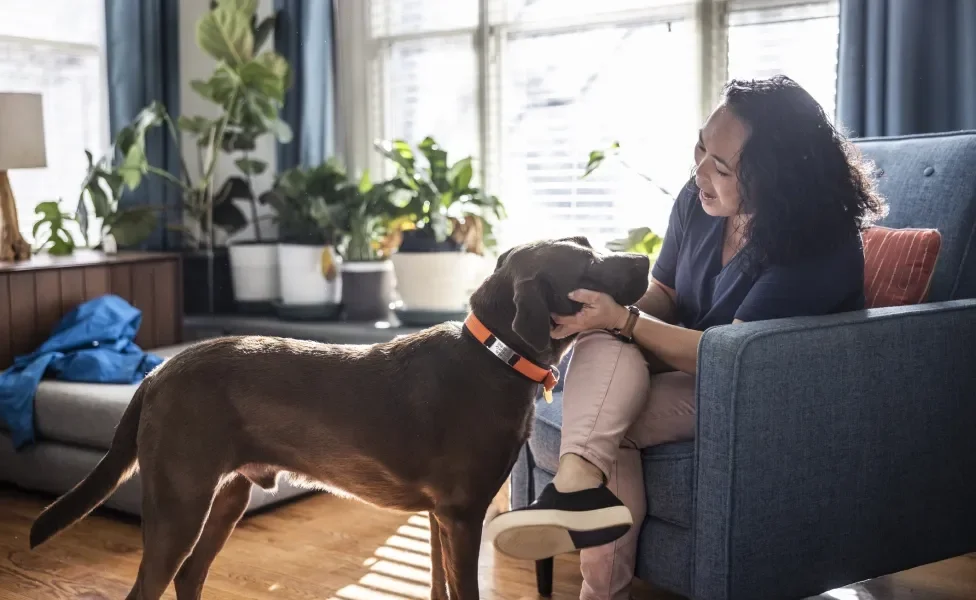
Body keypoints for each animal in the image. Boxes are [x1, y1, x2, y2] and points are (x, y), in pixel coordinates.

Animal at [28, 236, 648, 600]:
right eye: (589, 262)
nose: (645, 257)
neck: (494, 355)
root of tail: (157, 373)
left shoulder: (438, 519)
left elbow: (441, 588)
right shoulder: (462, 515)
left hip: (226, 497)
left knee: (190, 574)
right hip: (180, 504)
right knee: (153, 584)